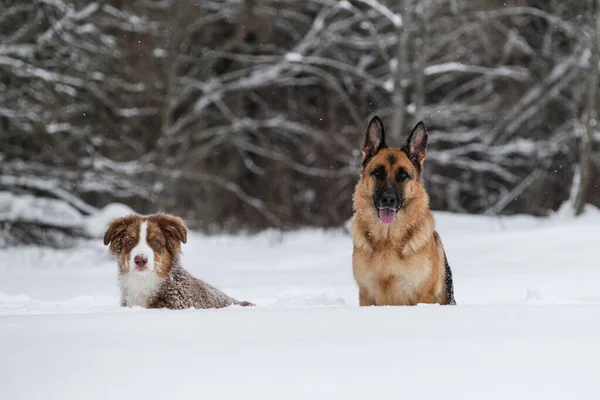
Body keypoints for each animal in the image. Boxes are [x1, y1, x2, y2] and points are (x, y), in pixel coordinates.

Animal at [352, 115, 454, 306]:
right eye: (378, 172)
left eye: (403, 175)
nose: (388, 199)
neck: (388, 239)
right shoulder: (366, 295)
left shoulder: (424, 296)